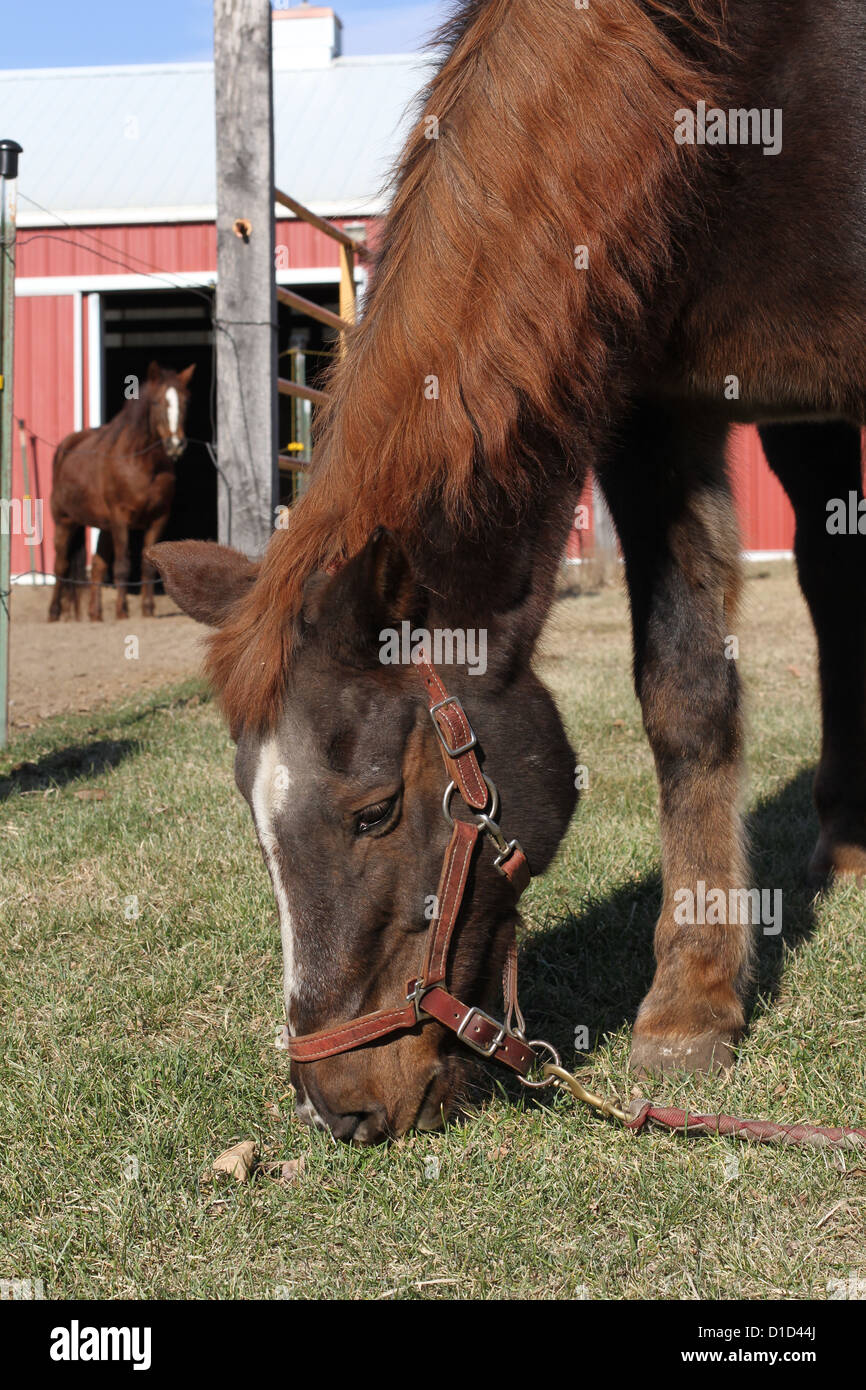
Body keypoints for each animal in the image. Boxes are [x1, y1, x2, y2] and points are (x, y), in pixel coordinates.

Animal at [49, 361, 195, 622]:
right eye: (156, 402)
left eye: (185, 401)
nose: (176, 444)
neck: (142, 464)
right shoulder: (120, 519)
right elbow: (123, 566)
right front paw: (122, 611)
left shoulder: (158, 519)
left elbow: (147, 566)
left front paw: (147, 610)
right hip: (65, 522)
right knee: (61, 565)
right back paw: (54, 613)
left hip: (104, 527)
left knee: (97, 567)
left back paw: (95, 614)